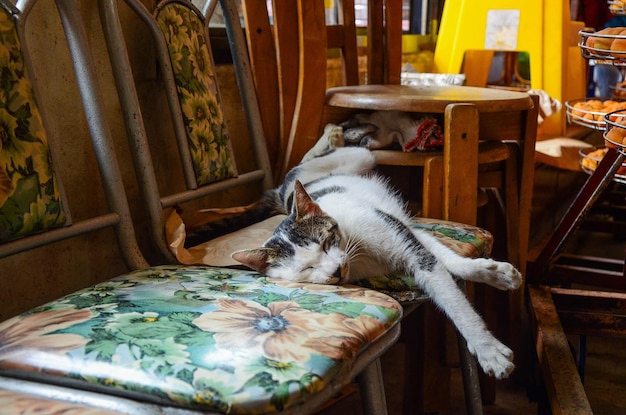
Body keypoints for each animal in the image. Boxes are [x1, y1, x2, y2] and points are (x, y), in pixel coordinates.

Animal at [227, 124, 520, 380]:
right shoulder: (408, 233)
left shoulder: (398, 230)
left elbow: (450, 288)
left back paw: (338, 134)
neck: (357, 252)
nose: (335, 270)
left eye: (325, 243)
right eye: (306, 269)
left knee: (323, 155)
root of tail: (283, 192)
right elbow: (438, 259)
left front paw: (487, 345)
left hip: (357, 158)